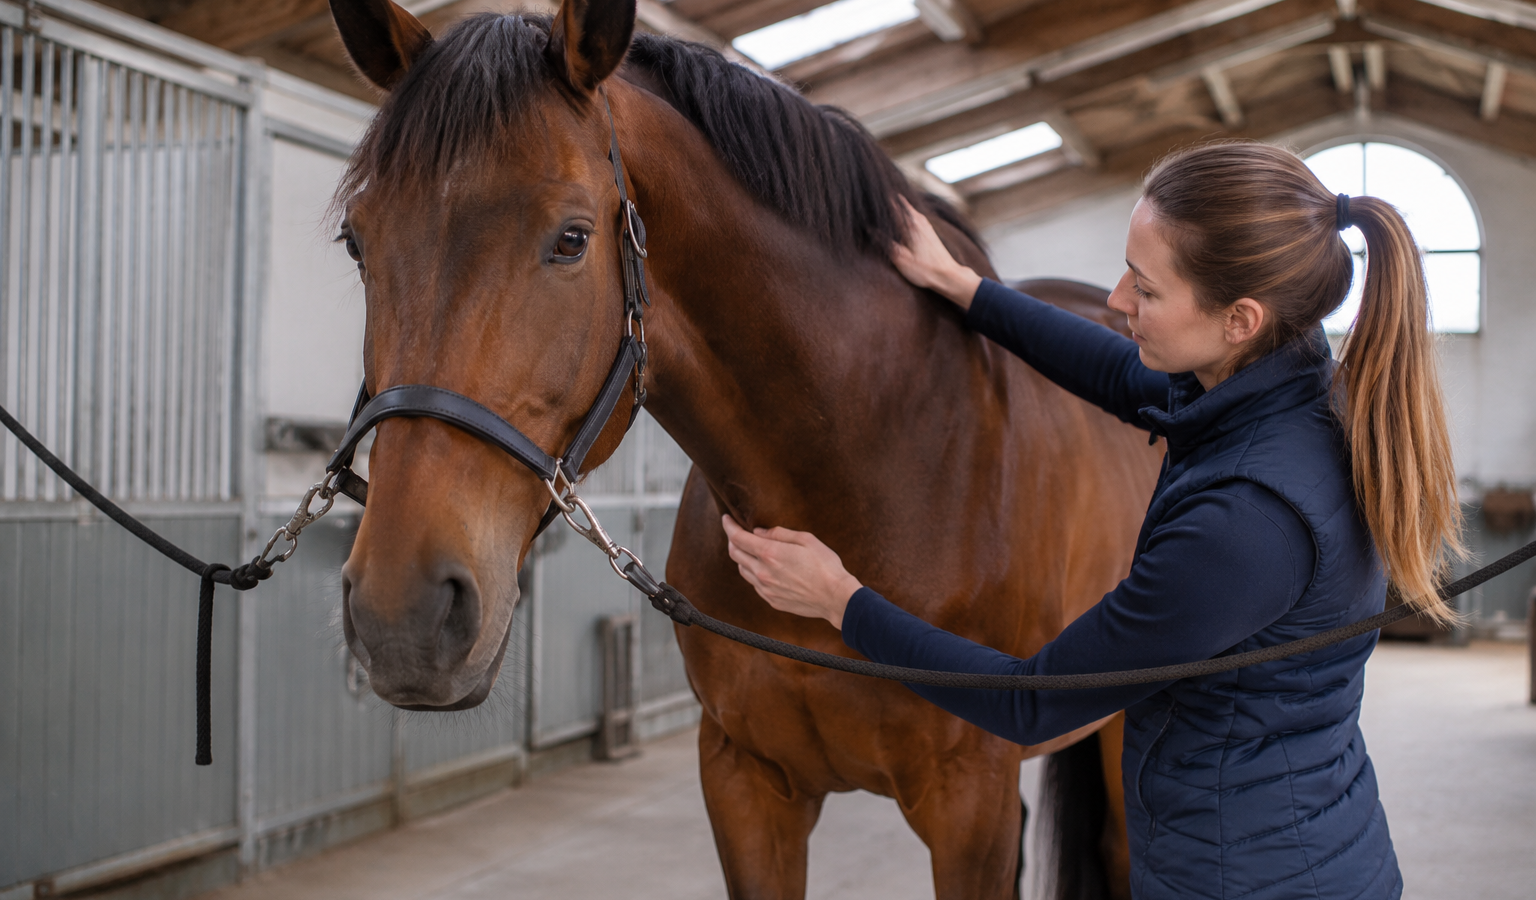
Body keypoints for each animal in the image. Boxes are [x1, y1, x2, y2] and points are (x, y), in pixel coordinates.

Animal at [325, 1, 1161, 897]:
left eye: (572, 239)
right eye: (356, 244)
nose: (401, 616)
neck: (877, 459)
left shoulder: (970, 801)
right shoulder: (745, 781)